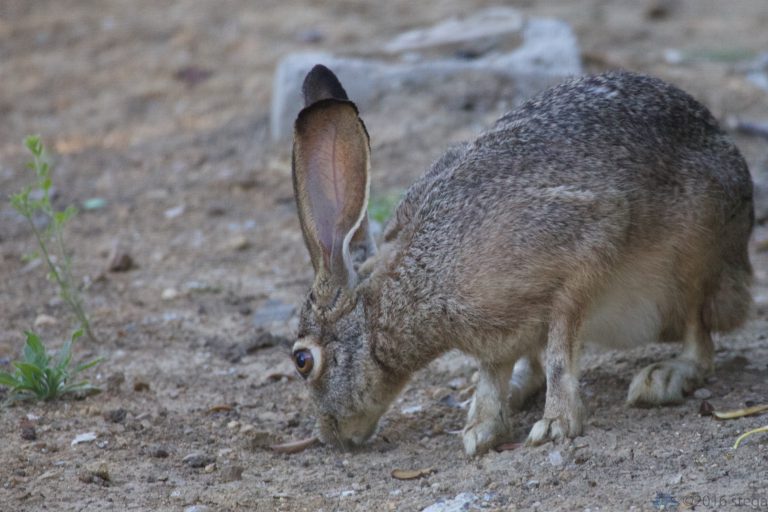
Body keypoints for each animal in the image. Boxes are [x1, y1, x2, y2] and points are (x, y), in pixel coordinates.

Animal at [289, 64, 753, 456]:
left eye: (302, 361)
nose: (329, 437)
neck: (398, 294)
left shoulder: (585, 247)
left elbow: (560, 350)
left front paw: (555, 426)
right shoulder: (494, 335)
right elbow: (492, 374)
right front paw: (481, 431)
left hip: (693, 259)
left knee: (700, 338)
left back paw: (664, 377)